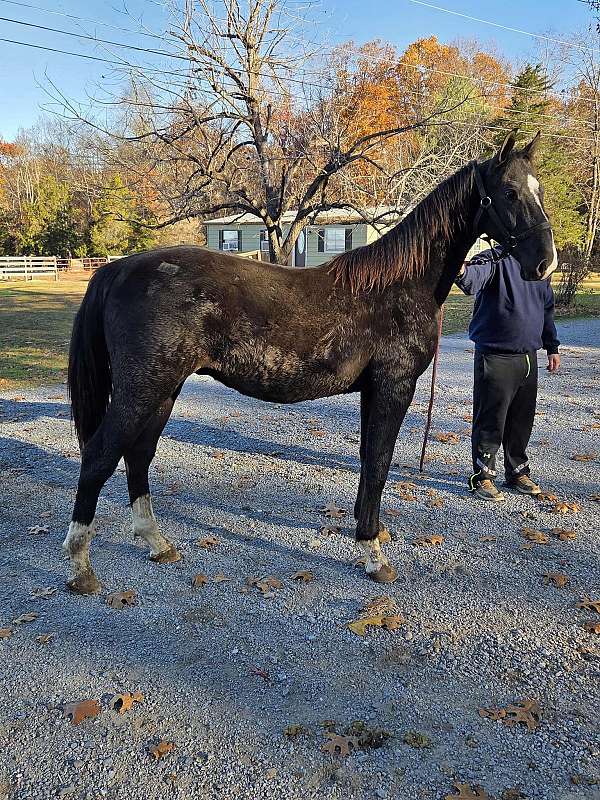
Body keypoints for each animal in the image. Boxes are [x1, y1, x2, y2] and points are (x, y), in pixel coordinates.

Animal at [64, 131, 557, 594]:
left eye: (539, 188)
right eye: (509, 192)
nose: (545, 263)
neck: (398, 285)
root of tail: (118, 269)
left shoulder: (373, 391)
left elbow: (367, 459)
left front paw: (369, 533)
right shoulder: (394, 387)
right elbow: (379, 461)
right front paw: (373, 554)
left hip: (163, 390)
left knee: (138, 455)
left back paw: (156, 543)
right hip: (142, 390)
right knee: (100, 455)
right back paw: (81, 568)